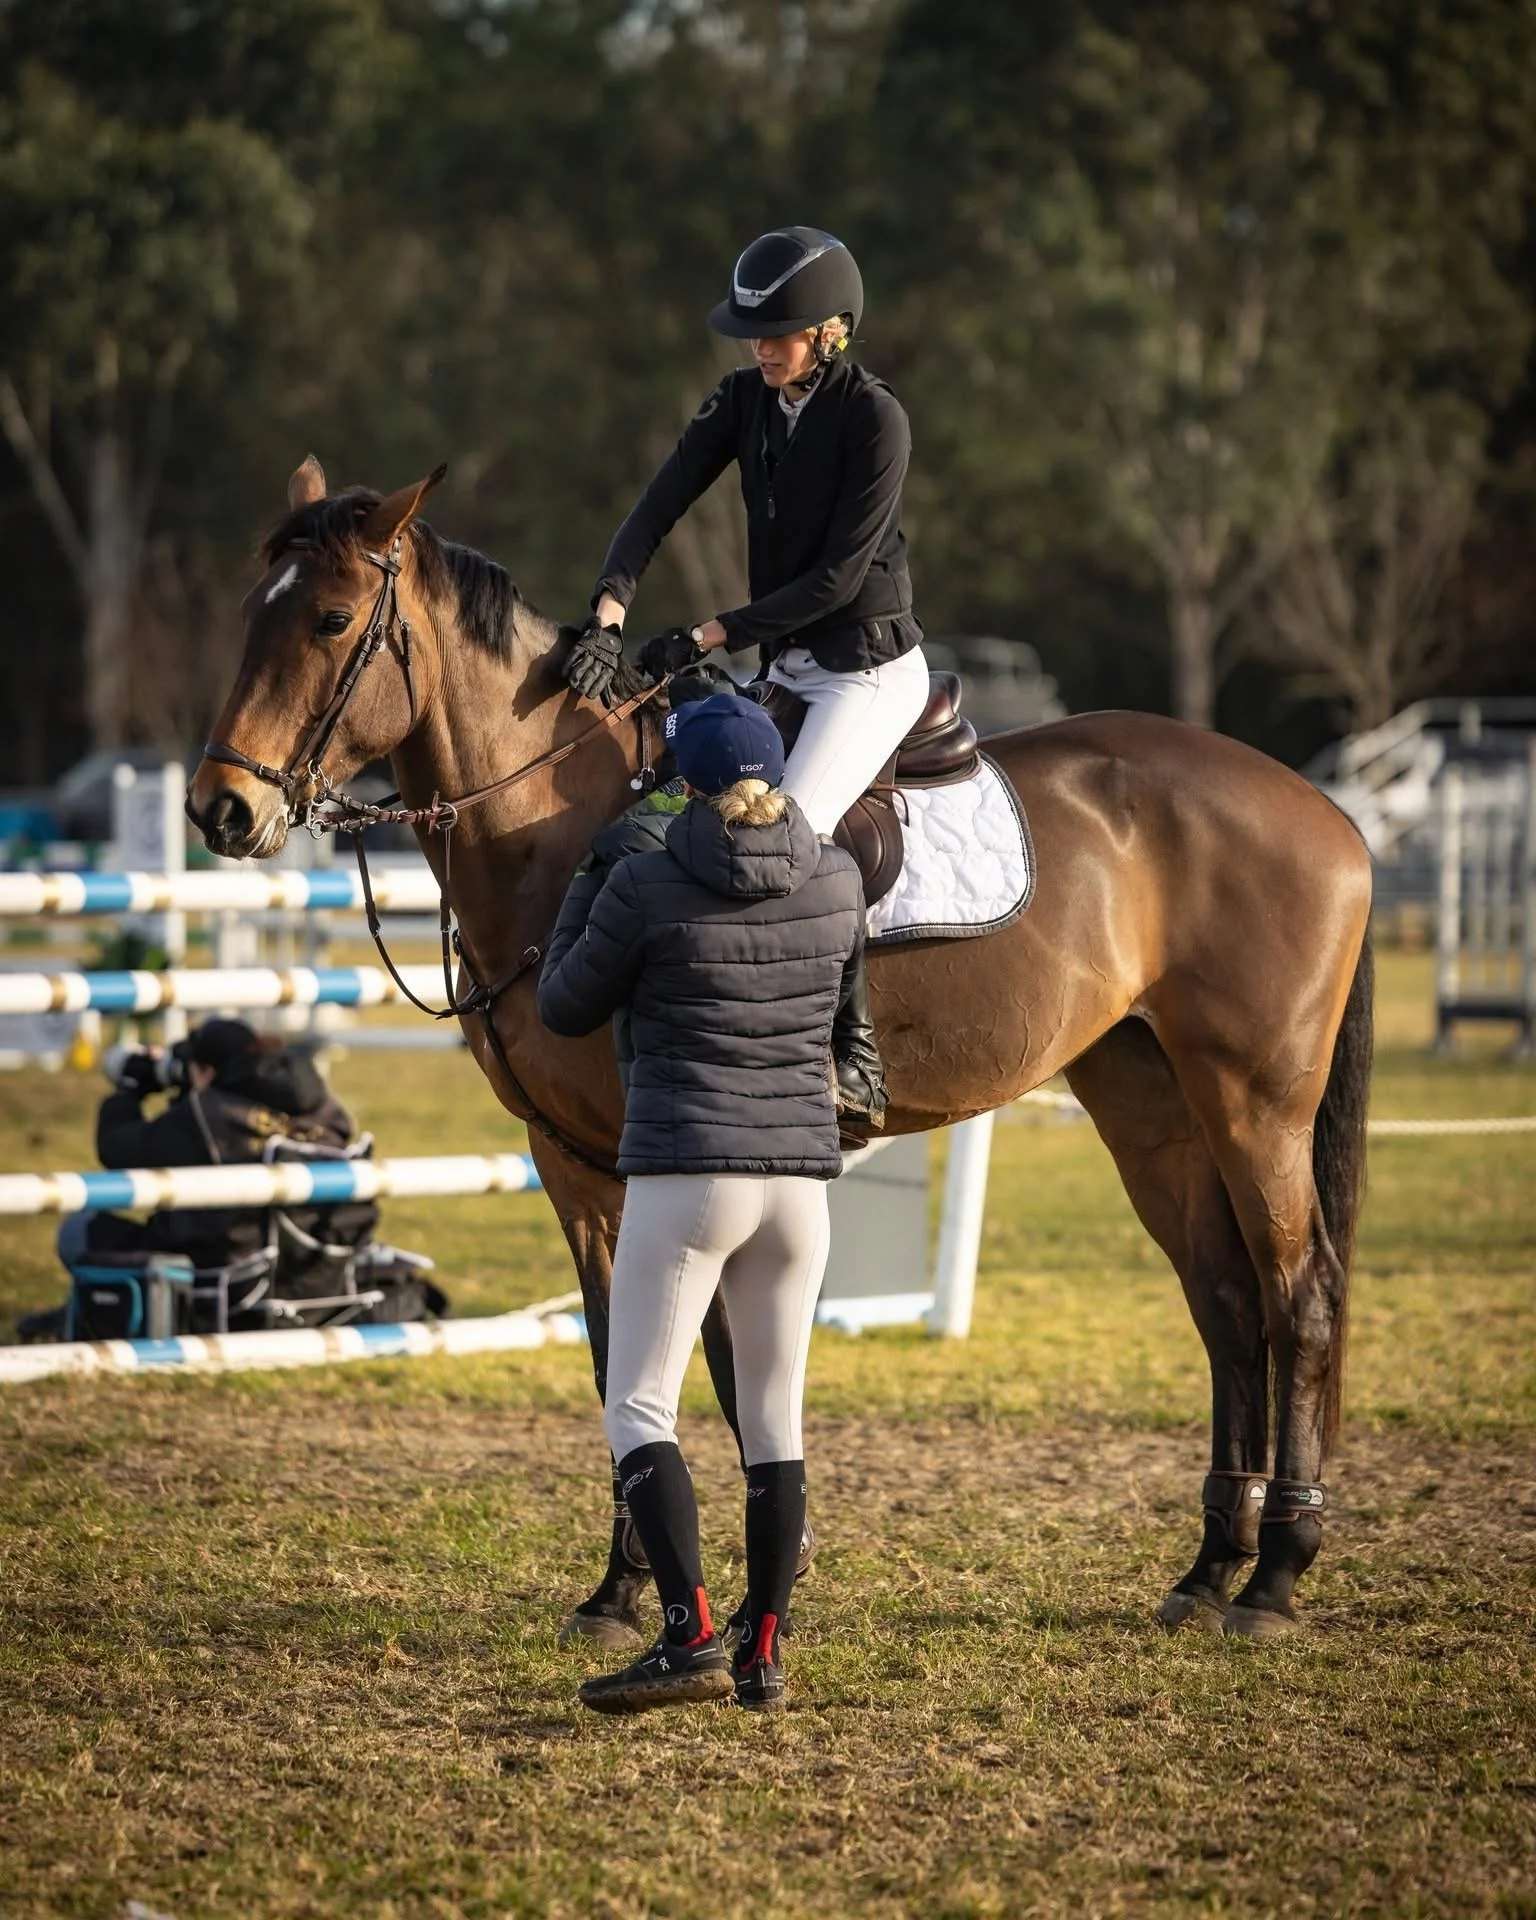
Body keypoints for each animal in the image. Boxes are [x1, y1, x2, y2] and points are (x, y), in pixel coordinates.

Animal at [187, 458, 1373, 1644]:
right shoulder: (571, 1161)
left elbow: (712, 1351)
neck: (561, 823)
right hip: (1147, 1098)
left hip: (1253, 1102)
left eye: (332, 618)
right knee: (1225, 1299)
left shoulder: (685, 1150)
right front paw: (621, 1591)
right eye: (249, 614)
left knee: (1299, 1290)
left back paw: (1273, 1575)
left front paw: (756, 1575)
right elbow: (621, 1353)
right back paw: (1209, 1568)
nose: (220, 809)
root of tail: (1322, 807)